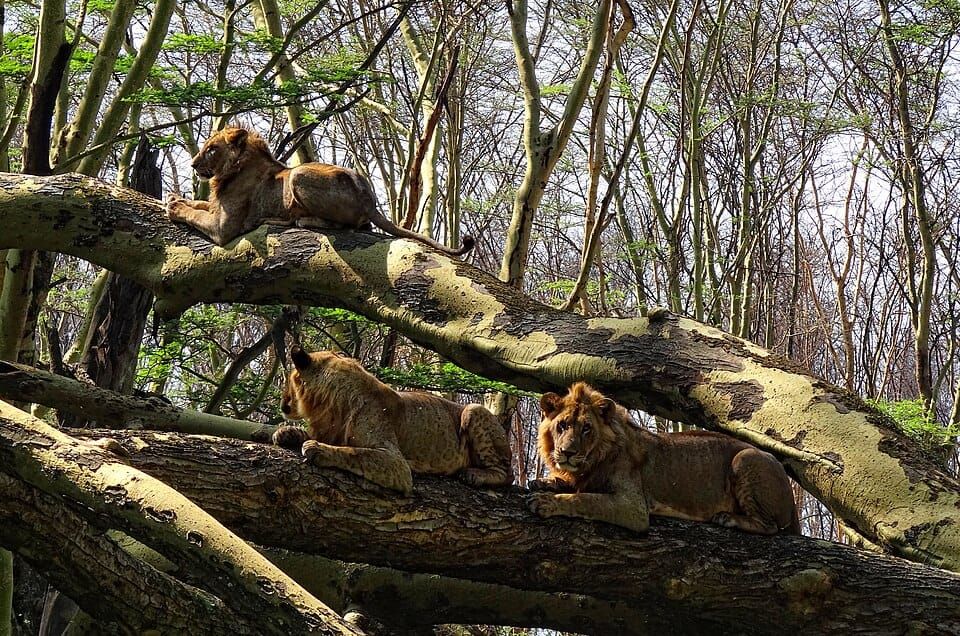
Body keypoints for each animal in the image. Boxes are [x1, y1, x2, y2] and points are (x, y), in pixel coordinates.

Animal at [166, 127, 474, 256]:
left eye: (211, 149)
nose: (193, 164)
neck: (231, 170)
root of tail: (369, 198)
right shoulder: (216, 207)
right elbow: (199, 205)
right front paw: (175, 197)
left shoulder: (224, 228)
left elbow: (196, 215)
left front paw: (174, 206)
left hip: (299, 173)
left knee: (344, 225)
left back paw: (294, 220)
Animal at [270, 346, 513, 495]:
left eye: (289, 379)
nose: (283, 402)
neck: (329, 405)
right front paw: (286, 432)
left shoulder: (396, 463)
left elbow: (355, 453)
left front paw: (317, 448)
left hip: (474, 410)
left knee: (506, 474)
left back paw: (474, 475)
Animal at [527, 382, 799, 535]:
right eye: (562, 426)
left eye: (586, 428)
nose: (568, 452)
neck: (593, 460)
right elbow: (572, 486)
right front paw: (544, 482)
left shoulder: (633, 507)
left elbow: (584, 499)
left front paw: (547, 502)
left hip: (745, 457)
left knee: (770, 527)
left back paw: (728, 518)